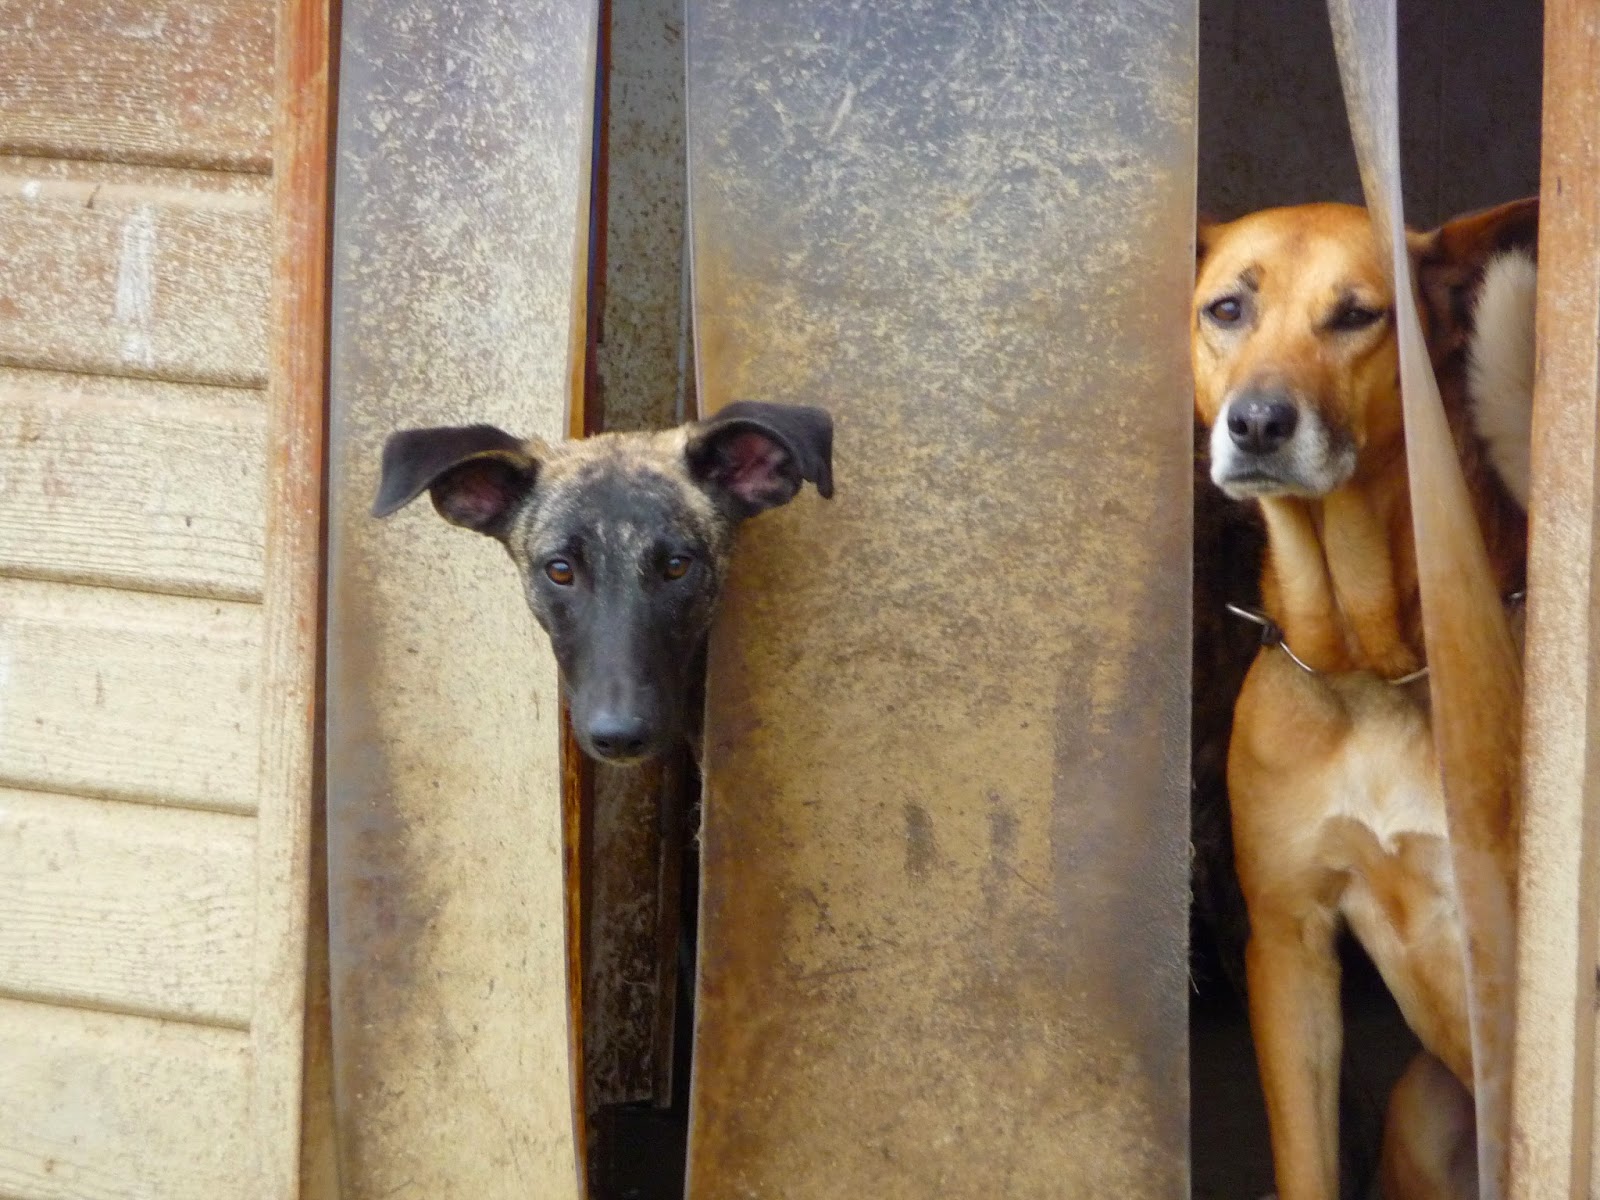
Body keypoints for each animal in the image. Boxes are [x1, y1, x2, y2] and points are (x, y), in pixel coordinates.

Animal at [1196, 200, 1529, 1200]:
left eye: (1356, 316)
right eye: (1228, 308)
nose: (1257, 422)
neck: (1368, 660)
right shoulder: (1288, 941)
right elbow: (1306, 1158)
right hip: (1419, 1118)